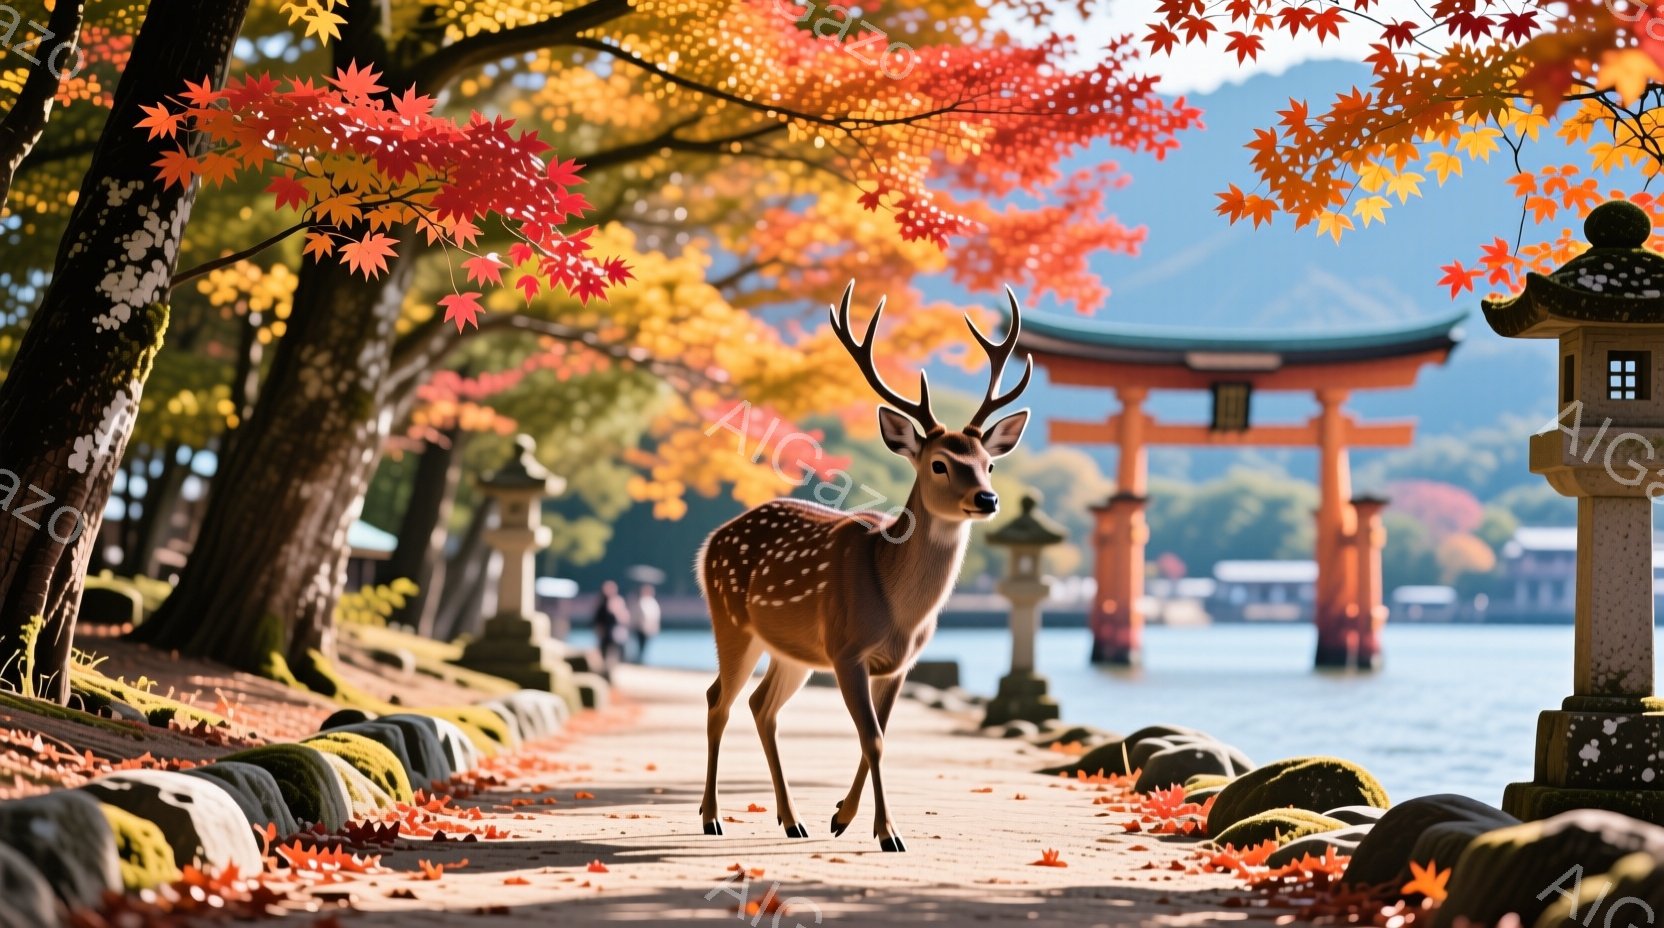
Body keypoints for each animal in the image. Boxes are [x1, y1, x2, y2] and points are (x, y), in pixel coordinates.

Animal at [695, 281, 1032, 852]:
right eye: (939, 463)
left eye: (989, 463)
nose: (987, 499)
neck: (900, 612)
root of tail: (707, 545)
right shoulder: (847, 648)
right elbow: (872, 737)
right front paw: (888, 832)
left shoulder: (898, 664)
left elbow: (880, 734)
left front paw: (841, 816)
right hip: (732, 622)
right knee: (718, 698)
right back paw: (712, 817)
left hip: (792, 650)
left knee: (761, 706)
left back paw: (792, 819)